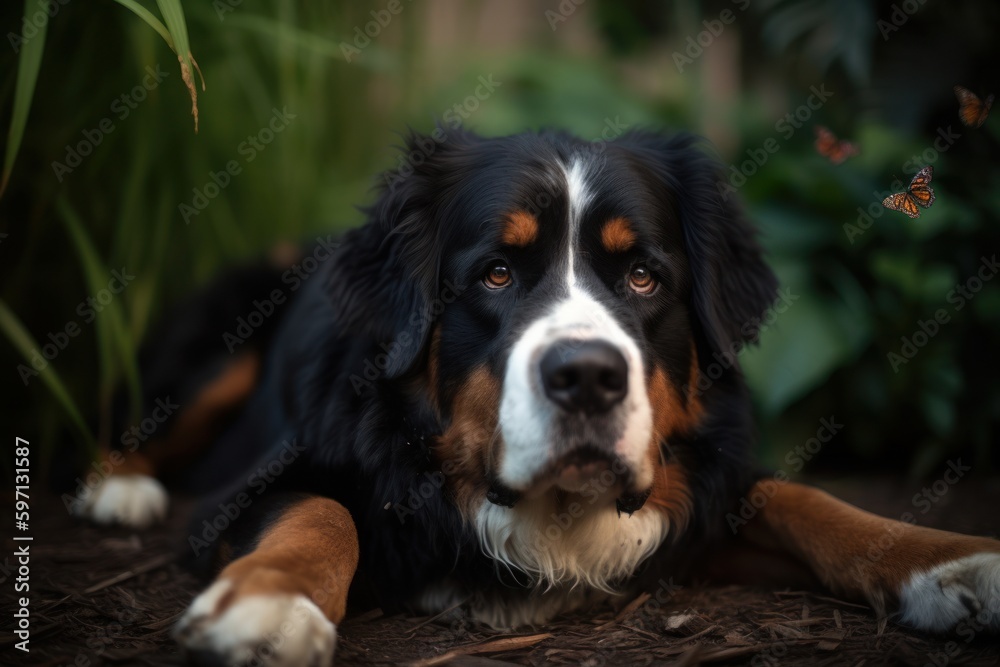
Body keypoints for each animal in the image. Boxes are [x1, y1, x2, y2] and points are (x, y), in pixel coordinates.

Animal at [74, 128, 1000, 664]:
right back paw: (117, 488)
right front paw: (269, 603)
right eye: (495, 272)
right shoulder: (256, 486)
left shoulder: (702, 493)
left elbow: (803, 499)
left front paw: (952, 559)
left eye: (642, 275)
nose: (587, 374)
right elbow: (318, 510)